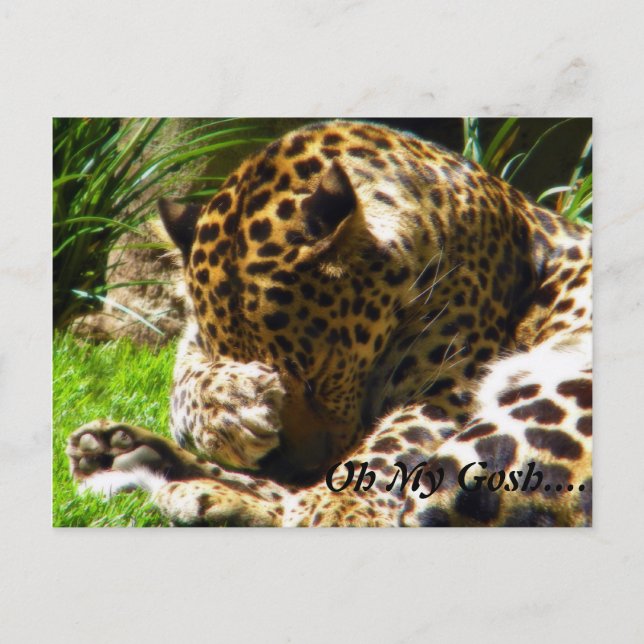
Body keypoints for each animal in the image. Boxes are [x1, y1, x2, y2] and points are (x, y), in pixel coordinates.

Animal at [66, 120, 592, 527]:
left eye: (318, 376)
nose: (295, 467)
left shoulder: (446, 386)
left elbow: (396, 438)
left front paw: (337, 502)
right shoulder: (193, 342)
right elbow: (185, 384)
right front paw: (231, 405)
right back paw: (123, 455)